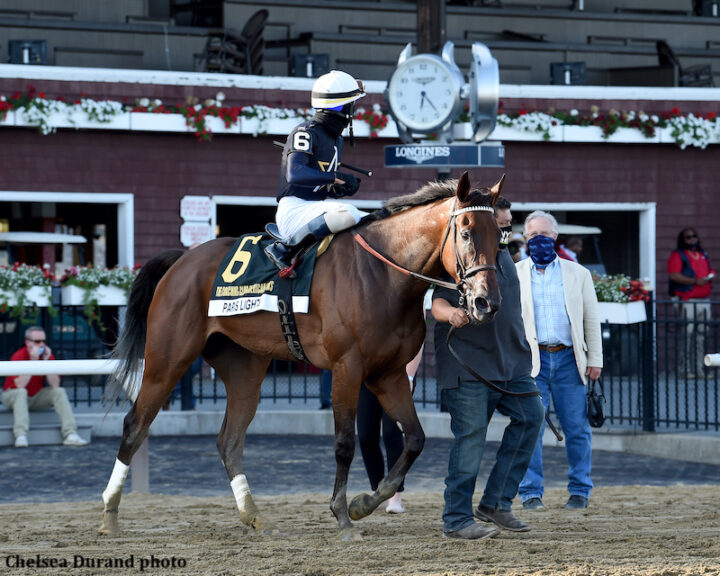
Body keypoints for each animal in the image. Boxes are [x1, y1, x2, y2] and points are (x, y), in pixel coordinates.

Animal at [100, 172, 506, 540]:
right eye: (466, 232)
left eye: (500, 240)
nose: (486, 302)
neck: (383, 275)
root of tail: (182, 260)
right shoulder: (347, 368)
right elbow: (344, 443)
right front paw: (342, 515)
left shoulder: (388, 374)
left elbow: (415, 440)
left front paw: (363, 504)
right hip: (167, 360)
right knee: (135, 425)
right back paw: (110, 514)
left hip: (245, 370)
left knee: (229, 440)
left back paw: (254, 516)